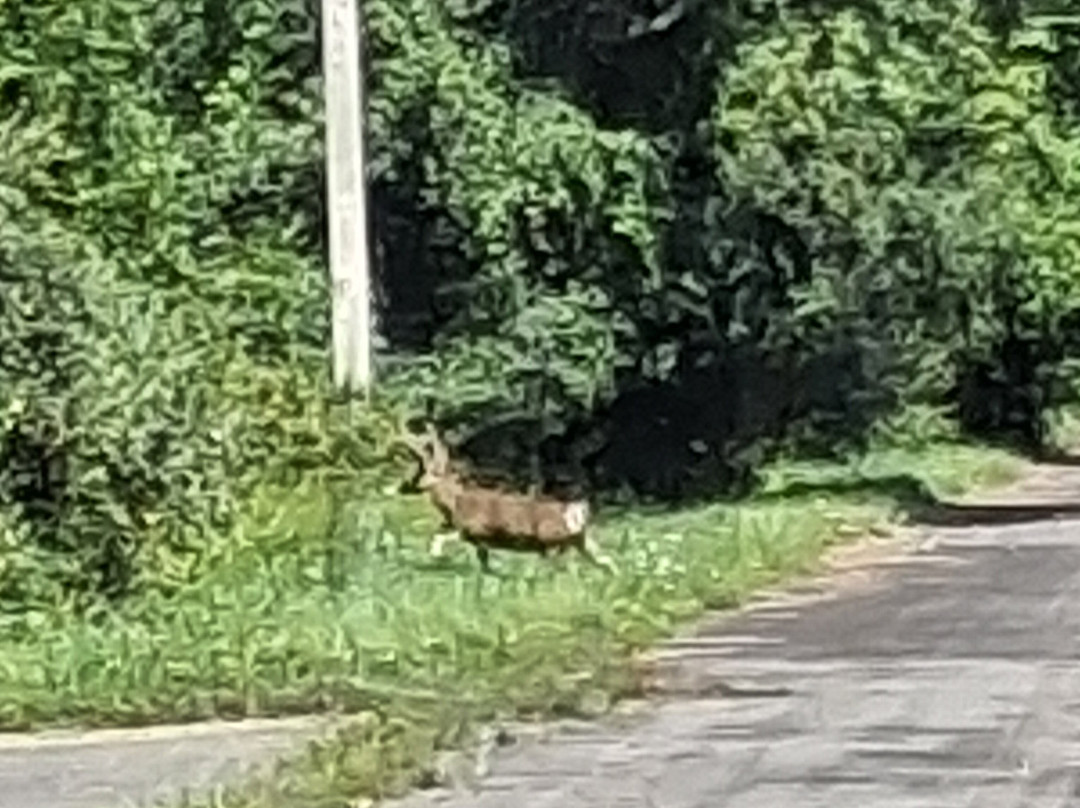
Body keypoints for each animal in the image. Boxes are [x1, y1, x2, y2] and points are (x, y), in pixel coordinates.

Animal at [397, 421, 614, 573]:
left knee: (564, 564)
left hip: (554, 538)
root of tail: (577, 509)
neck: (454, 503)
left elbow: (441, 538)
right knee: (606, 560)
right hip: (582, 539)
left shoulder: (477, 529)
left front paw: (439, 557)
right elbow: (481, 559)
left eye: (425, 471)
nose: (404, 487)